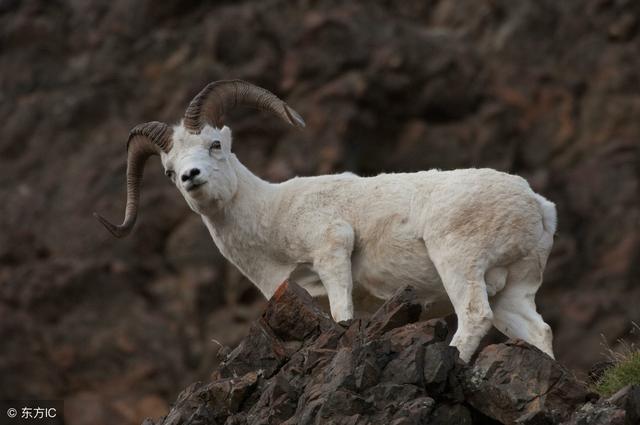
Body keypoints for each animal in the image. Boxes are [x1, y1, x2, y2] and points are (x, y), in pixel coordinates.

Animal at [94, 79, 556, 362]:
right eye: (169, 171)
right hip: (513, 291)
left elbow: (341, 316)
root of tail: (534, 204)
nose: (191, 177)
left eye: (215, 144)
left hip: (458, 263)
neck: (273, 215)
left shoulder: (332, 253)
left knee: (474, 317)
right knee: (538, 332)